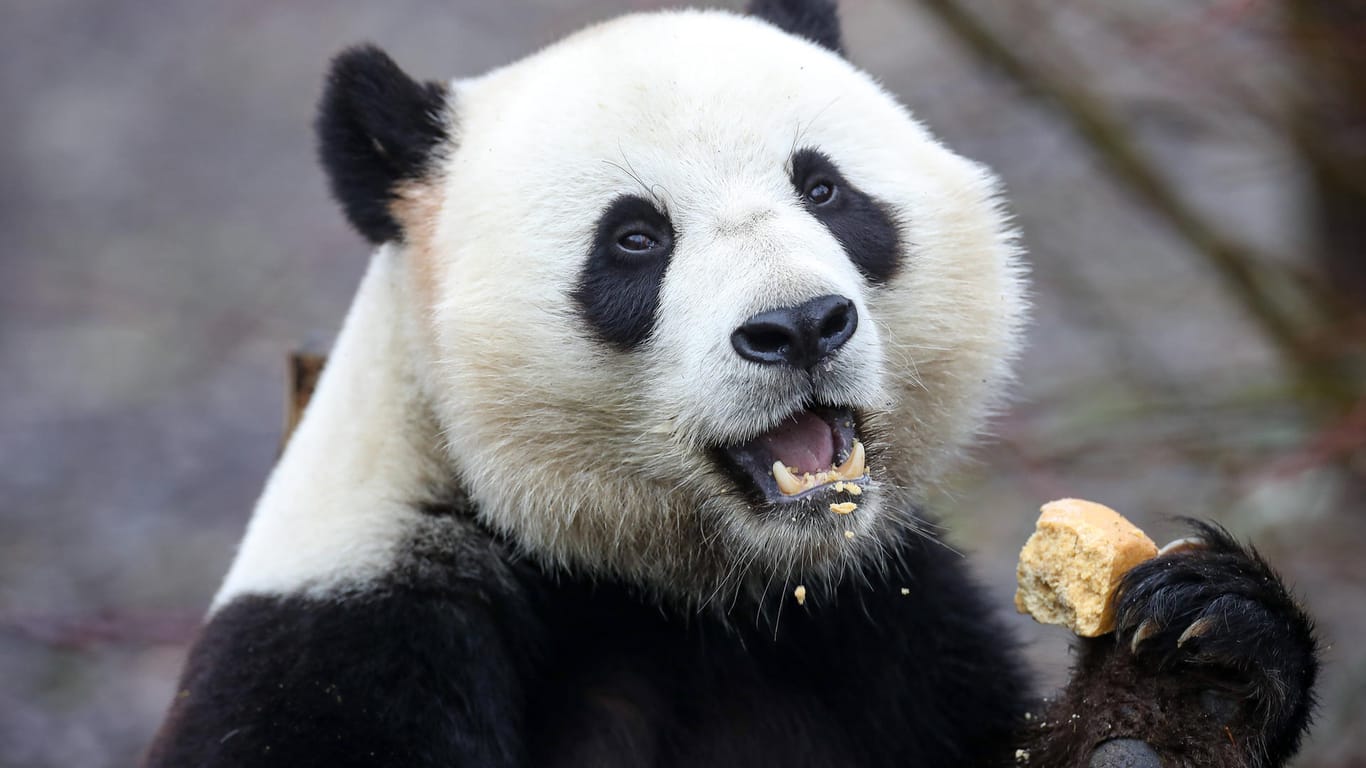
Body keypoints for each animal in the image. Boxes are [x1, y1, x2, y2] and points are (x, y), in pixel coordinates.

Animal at [144, 1, 1316, 765]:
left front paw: (1194, 671)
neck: (688, 589)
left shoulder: (879, 619)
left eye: (825, 188)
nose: (798, 327)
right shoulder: (349, 644)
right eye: (634, 238)